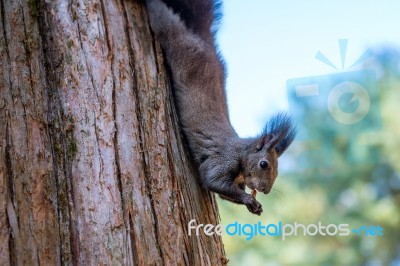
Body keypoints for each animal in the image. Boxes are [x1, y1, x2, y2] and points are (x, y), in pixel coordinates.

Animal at [145, 0, 296, 215]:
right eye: (264, 164)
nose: (265, 190)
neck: (241, 153)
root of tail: (206, 43)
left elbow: (226, 194)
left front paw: (254, 206)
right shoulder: (223, 160)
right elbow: (213, 181)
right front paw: (249, 200)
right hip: (178, 43)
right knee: (165, 21)